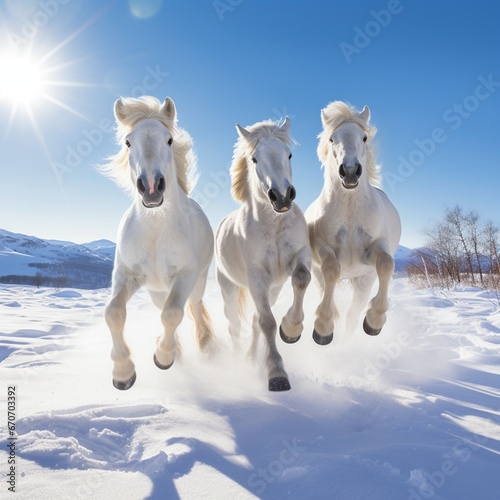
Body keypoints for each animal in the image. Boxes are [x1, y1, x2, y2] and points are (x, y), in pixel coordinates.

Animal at [102, 95, 214, 388]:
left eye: (169, 140)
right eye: (128, 142)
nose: (151, 187)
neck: (154, 230)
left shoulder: (185, 275)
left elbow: (173, 313)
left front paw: (163, 358)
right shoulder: (126, 275)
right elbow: (113, 313)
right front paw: (123, 373)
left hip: (196, 283)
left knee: (193, 309)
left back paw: (205, 347)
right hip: (156, 291)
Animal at [216, 116, 310, 390]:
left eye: (289, 154)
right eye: (255, 159)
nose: (282, 197)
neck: (274, 225)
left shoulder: (298, 258)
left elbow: (302, 279)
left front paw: (291, 330)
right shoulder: (257, 276)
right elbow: (267, 322)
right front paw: (277, 374)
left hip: (274, 288)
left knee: (255, 320)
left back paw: (250, 358)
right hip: (228, 286)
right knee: (235, 325)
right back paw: (237, 361)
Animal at [304, 101, 402, 344]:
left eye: (364, 137)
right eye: (332, 139)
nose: (349, 171)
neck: (349, 211)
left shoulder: (374, 250)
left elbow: (386, 264)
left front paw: (375, 321)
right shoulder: (324, 249)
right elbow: (331, 270)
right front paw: (323, 328)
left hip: (363, 280)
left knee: (352, 315)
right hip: (319, 276)